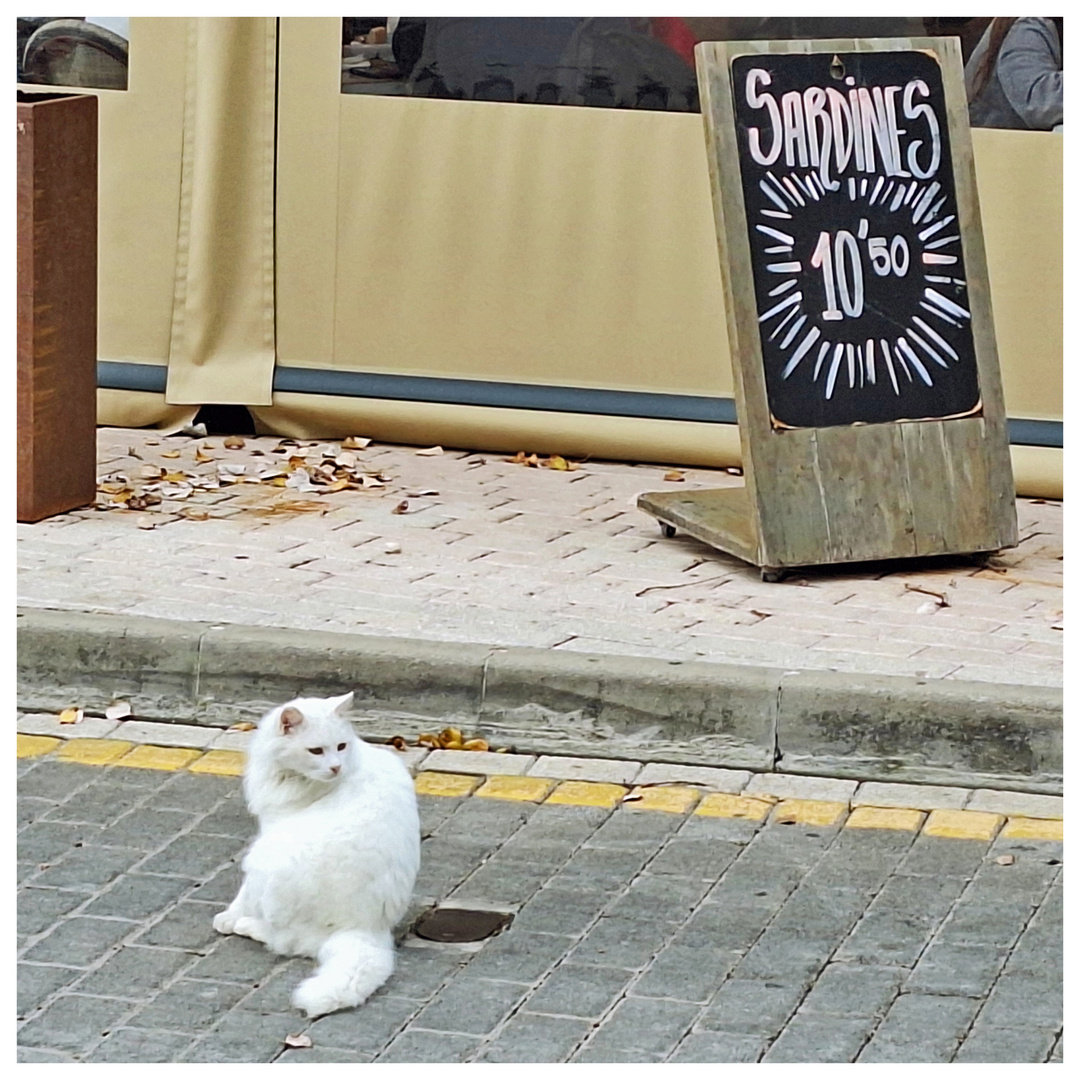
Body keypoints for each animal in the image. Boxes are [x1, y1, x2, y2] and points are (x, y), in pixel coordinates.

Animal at [210, 695, 416, 1015]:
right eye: (316, 750)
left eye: (341, 746)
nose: (335, 768)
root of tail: (365, 927)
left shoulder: (270, 828)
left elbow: (241, 896)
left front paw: (228, 916)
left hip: (268, 858)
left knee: (282, 939)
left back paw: (244, 925)